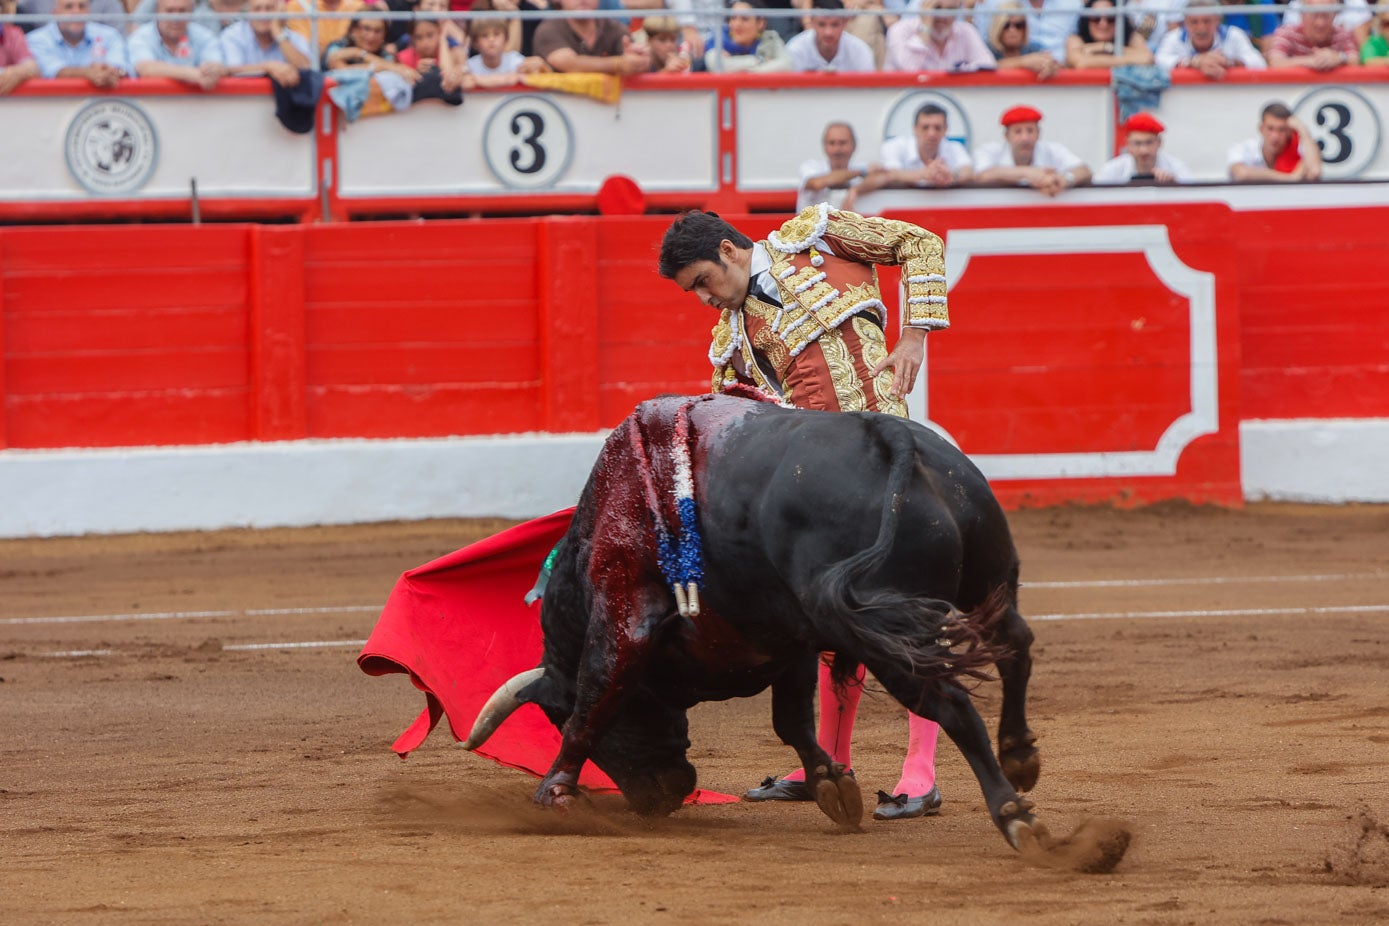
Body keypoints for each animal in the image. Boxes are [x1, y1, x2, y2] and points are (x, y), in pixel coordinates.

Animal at [463, 391, 1127, 871]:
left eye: (551, 715)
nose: (664, 798)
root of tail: (893, 440)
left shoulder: (625, 615)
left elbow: (596, 695)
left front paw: (553, 795)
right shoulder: (790, 637)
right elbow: (793, 719)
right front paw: (831, 784)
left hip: (884, 632)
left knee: (952, 705)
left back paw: (1016, 816)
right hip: (983, 581)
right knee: (1015, 645)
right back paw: (1020, 756)